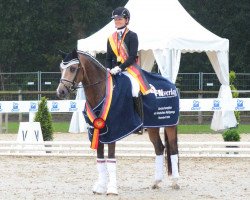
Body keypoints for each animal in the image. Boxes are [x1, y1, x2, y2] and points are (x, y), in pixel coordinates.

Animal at [56, 48, 180, 195]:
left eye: (73, 68)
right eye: (61, 68)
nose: (60, 92)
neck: (102, 91)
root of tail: (171, 84)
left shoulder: (113, 132)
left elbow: (110, 159)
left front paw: (112, 189)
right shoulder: (97, 132)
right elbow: (100, 159)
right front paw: (100, 187)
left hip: (170, 125)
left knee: (173, 149)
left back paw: (175, 182)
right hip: (153, 127)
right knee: (159, 148)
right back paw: (156, 182)